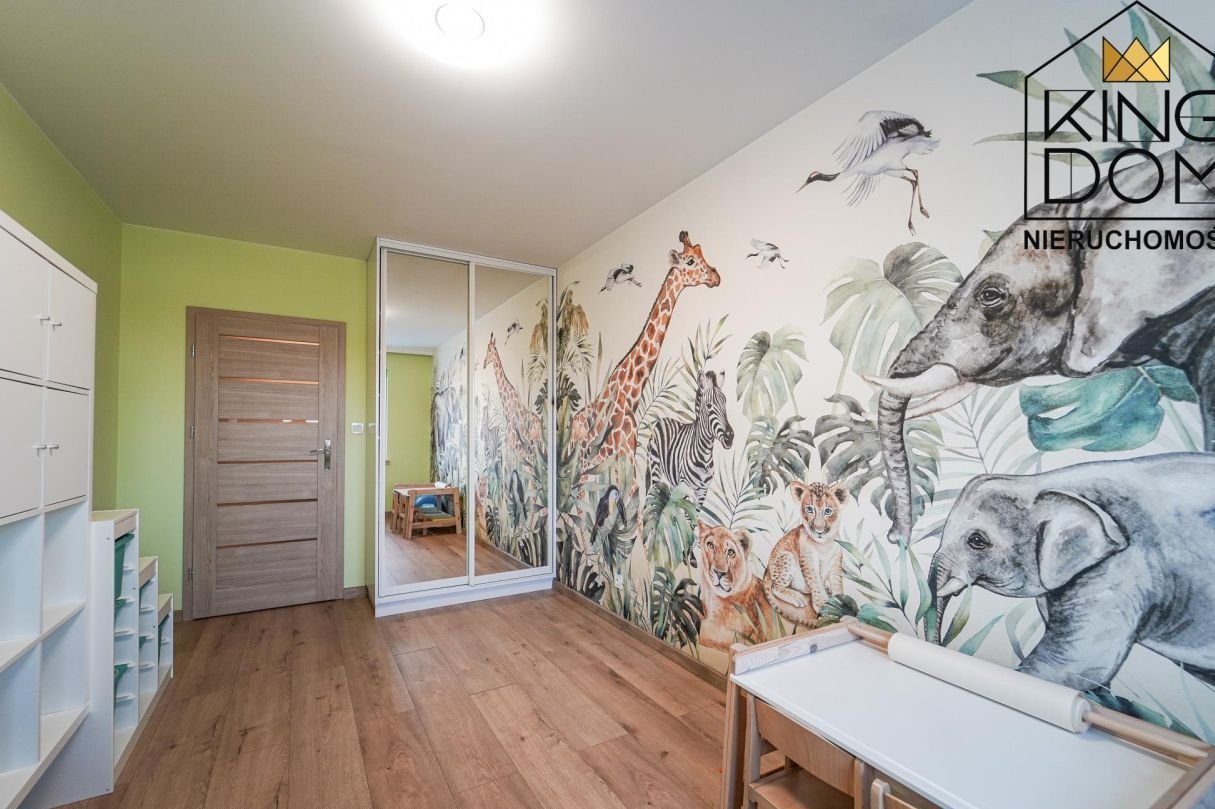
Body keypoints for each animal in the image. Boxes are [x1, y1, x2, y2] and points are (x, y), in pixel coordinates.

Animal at [569, 230, 721, 474]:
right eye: (690, 261)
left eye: (701, 252)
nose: (716, 276)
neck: (631, 395)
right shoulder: (623, 456)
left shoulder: (626, 455)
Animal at [646, 370, 734, 506]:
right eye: (709, 405)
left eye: (725, 403)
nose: (730, 437)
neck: (705, 456)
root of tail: (662, 420)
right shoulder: (685, 487)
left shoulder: (702, 492)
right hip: (655, 466)